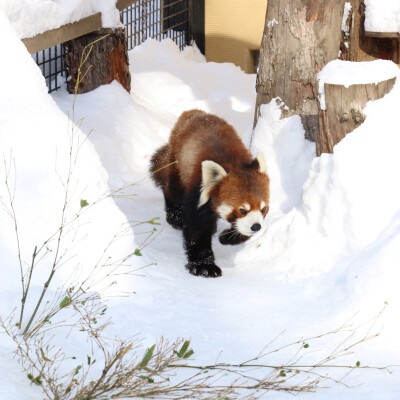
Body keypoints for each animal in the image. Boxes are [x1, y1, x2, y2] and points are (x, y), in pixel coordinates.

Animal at [150, 109, 268, 278]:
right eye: (242, 210)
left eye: (263, 209)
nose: (256, 227)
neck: (233, 164)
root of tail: (193, 112)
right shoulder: (197, 192)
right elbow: (197, 229)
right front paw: (204, 266)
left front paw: (228, 237)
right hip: (177, 162)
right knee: (172, 190)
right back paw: (175, 217)